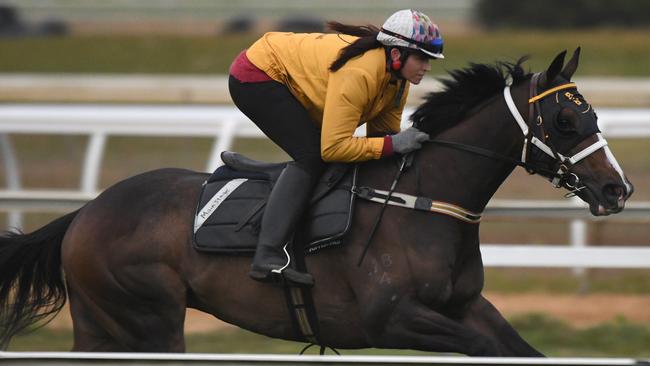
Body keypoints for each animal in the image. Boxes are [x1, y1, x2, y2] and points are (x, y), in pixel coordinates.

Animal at [0, 48, 628, 354]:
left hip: (103, 321)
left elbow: (517, 349)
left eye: (592, 112)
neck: (421, 200)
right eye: (566, 120)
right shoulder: (392, 320)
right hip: (147, 320)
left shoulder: (465, 307)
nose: (618, 189)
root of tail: (86, 212)